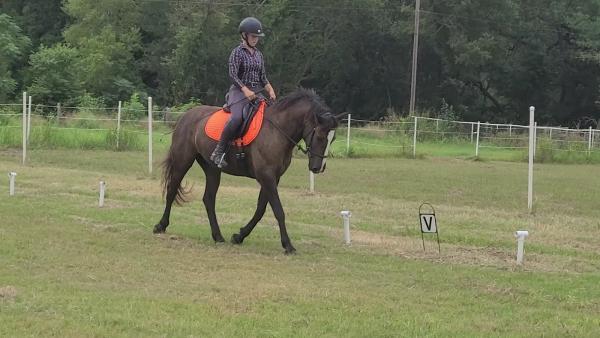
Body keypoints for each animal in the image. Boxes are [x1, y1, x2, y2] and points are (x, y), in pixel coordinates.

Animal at [155, 88, 340, 255]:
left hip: (212, 169)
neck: (277, 130)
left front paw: (239, 236)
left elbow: (260, 210)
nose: (318, 168)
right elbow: (278, 210)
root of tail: (186, 116)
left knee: (208, 199)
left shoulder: (272, 178)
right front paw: (288, 245)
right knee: (172, 190)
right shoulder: (266, 177)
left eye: (333, 138)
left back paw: (218, 236)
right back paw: (161, 225)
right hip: (182, 161)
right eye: (320, 136)